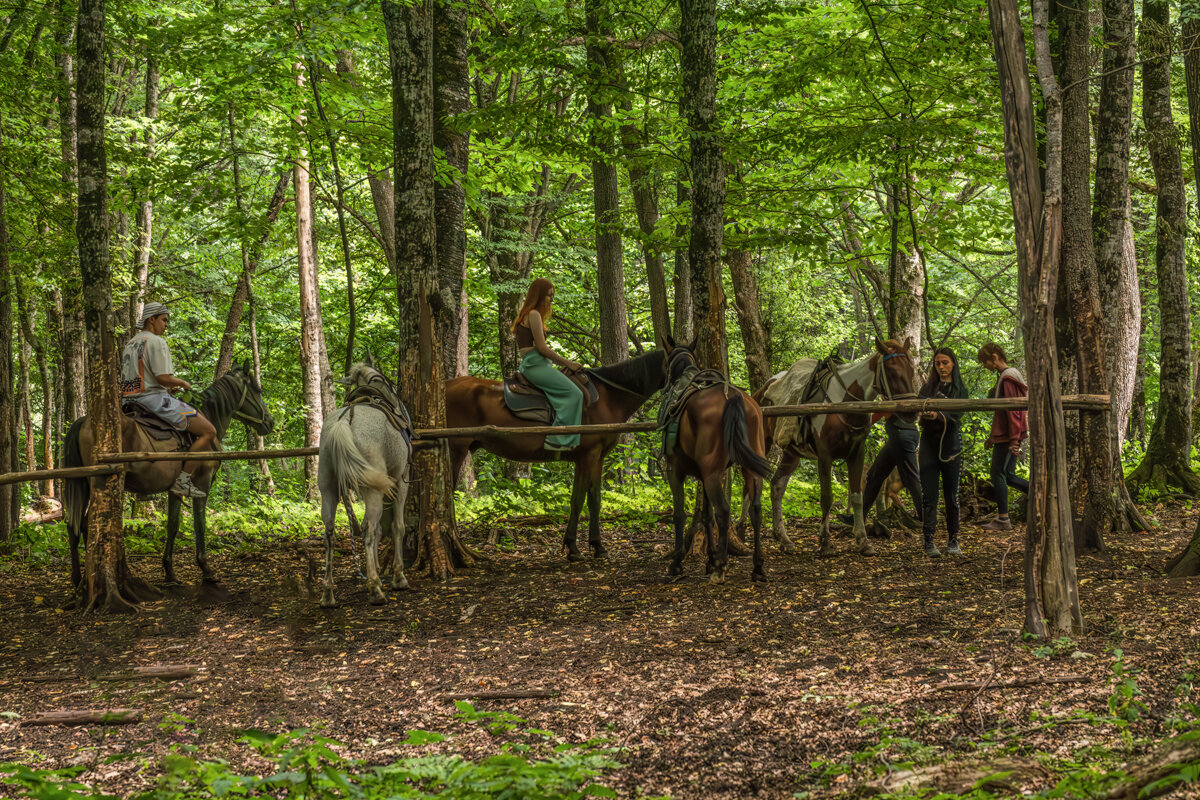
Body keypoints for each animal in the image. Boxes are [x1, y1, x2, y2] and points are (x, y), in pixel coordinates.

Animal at [63, 362, 276, 587]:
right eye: (257, 390)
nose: (270, 422)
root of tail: (84, 421)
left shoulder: (174, 490)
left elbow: (172, 525)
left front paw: (169, 571)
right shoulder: (203, 483)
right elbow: (200, 523)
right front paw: (206, 568)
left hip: (83, 482)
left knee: (74, 525)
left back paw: (78, 578)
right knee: (87, 524)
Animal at [319, 357, 412, 606]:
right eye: (389, 383)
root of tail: (345, 422)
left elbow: (381, 529)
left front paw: (378, 567)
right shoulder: (401, 481)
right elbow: (397, 526)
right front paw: (398, 577)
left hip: (328, 488)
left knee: (330, 532)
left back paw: (328, 594)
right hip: (373, 490)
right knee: (368, 528)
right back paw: (375, 589)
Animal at [444, 347, 672, 561]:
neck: (608, 398)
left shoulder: (597, 457)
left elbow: (594, 500)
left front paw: (598, 546)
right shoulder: (587, 456)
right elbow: (578, 500)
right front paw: (573, 548)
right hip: (455, 449)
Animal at [657, 340, 768, 585]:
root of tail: (734, 397)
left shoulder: (676, 470)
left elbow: (680, 514)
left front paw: (678, 562)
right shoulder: (702, 473)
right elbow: (706, 516)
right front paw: (709, 558)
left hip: (712, 474)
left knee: (724, 511)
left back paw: (721, 567)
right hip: (747, 468)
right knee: (755, 510)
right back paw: (757, 567)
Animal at [748, 340, 916, 561]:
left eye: (911, 370)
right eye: (893, 371)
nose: (911, 414)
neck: (845, 404)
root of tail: (762, 390)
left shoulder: (857, 454)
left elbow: (857, 496)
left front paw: (863, 541)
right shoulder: (825, 455)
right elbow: (827, 498)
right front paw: (825, 543)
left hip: (792, 453)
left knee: (777, 485)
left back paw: (783, 538)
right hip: (762, 442)